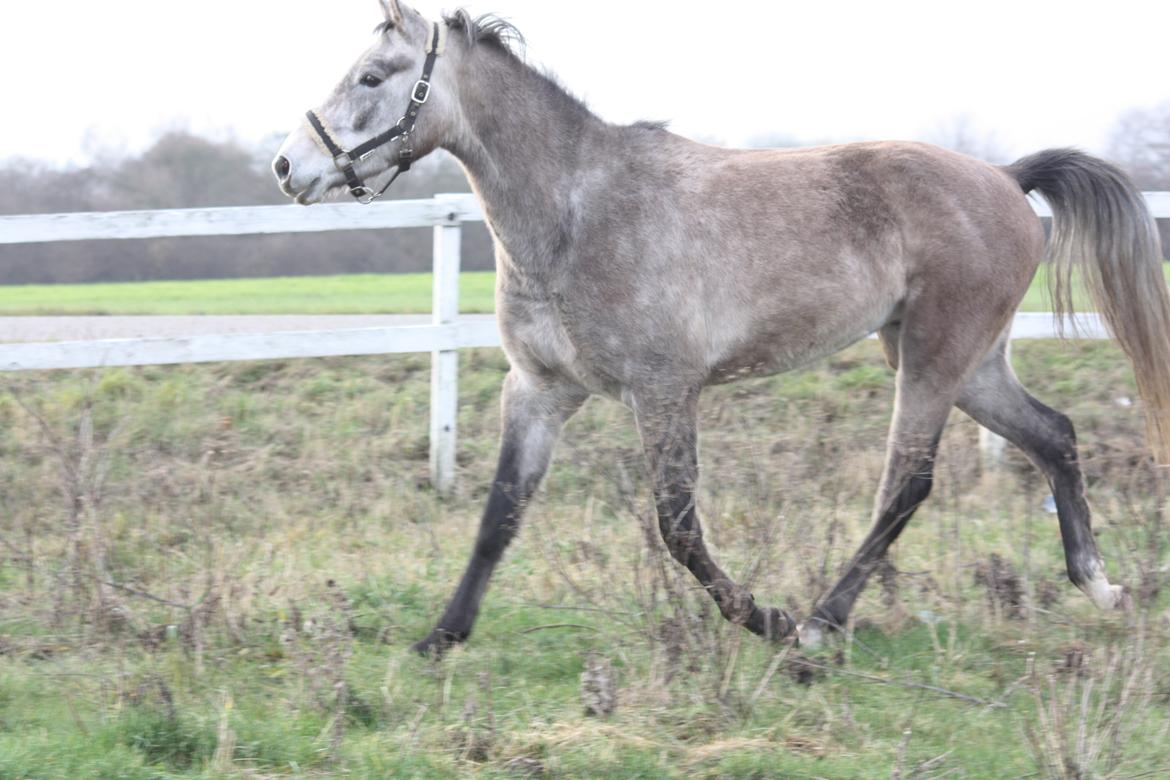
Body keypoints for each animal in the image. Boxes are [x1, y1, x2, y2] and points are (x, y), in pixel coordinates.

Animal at [273, 3, 1170, 654]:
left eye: (373, 75)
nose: (288, 167)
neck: (577, 212)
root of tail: (1006, 179)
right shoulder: (539, 390)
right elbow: (501, 513)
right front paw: (442, 637)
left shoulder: (665, 391)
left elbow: (678, 526)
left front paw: (761, 617)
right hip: (967, 364)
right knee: (1054, 436)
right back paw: (1100, 586)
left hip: (934, 360)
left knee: (907, 484)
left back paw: (817, 625)